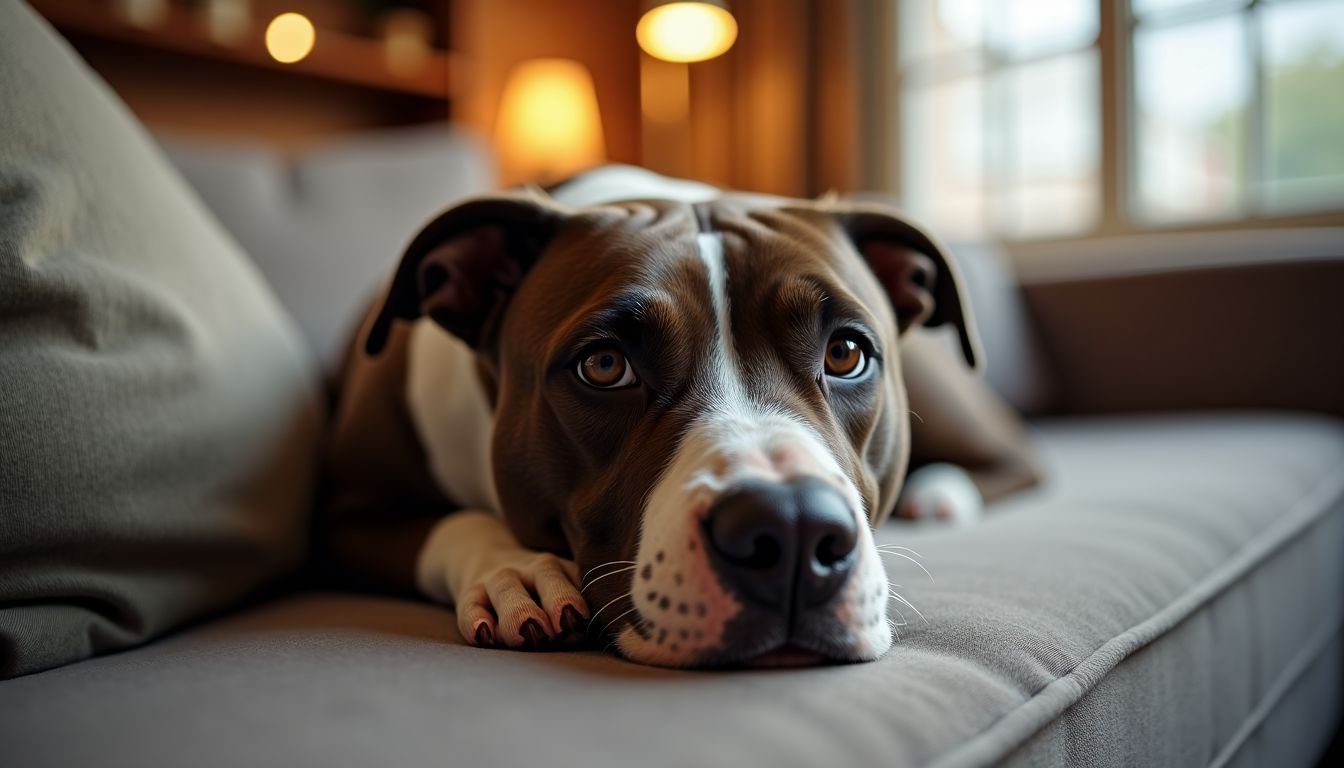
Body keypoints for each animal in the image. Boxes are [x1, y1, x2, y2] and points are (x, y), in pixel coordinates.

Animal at [319, 166, 1032, 667]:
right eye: (604, 366)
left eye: (846, 353)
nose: (793, 526)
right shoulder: (343, 517)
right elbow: (451, 524)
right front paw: (513, 573)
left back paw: (937, 494)